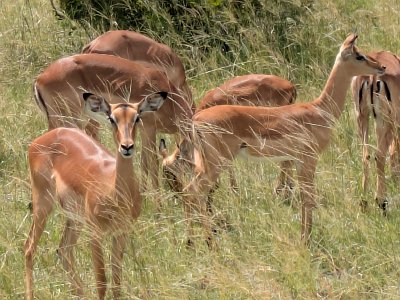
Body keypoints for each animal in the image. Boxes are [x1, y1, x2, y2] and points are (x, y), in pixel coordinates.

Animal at [23, 92, 167, 300]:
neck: (114, 192)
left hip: (75, 218)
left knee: (64, 250)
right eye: (112, 118)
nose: (127, 146)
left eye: (137, 117)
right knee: (29, 248)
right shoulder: (95, 233)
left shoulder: (121, 232)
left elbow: (116, 282)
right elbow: (101, 282)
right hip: (43, 202)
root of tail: (44, 137)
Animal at [33, 54, 193, 199]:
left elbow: (144, 163)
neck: (170, 100)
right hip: (66, 121)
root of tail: (40, 79)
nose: (178, 194)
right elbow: (152, 163)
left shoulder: (142, 131)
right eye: (169, 172)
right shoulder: (149, 129)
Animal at [350, 51, 400, 211]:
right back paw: (381, 202)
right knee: (380, 155)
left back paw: (363, 202)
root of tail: (372, 77)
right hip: (382, 119)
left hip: (362, 116)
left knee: (366, 155)